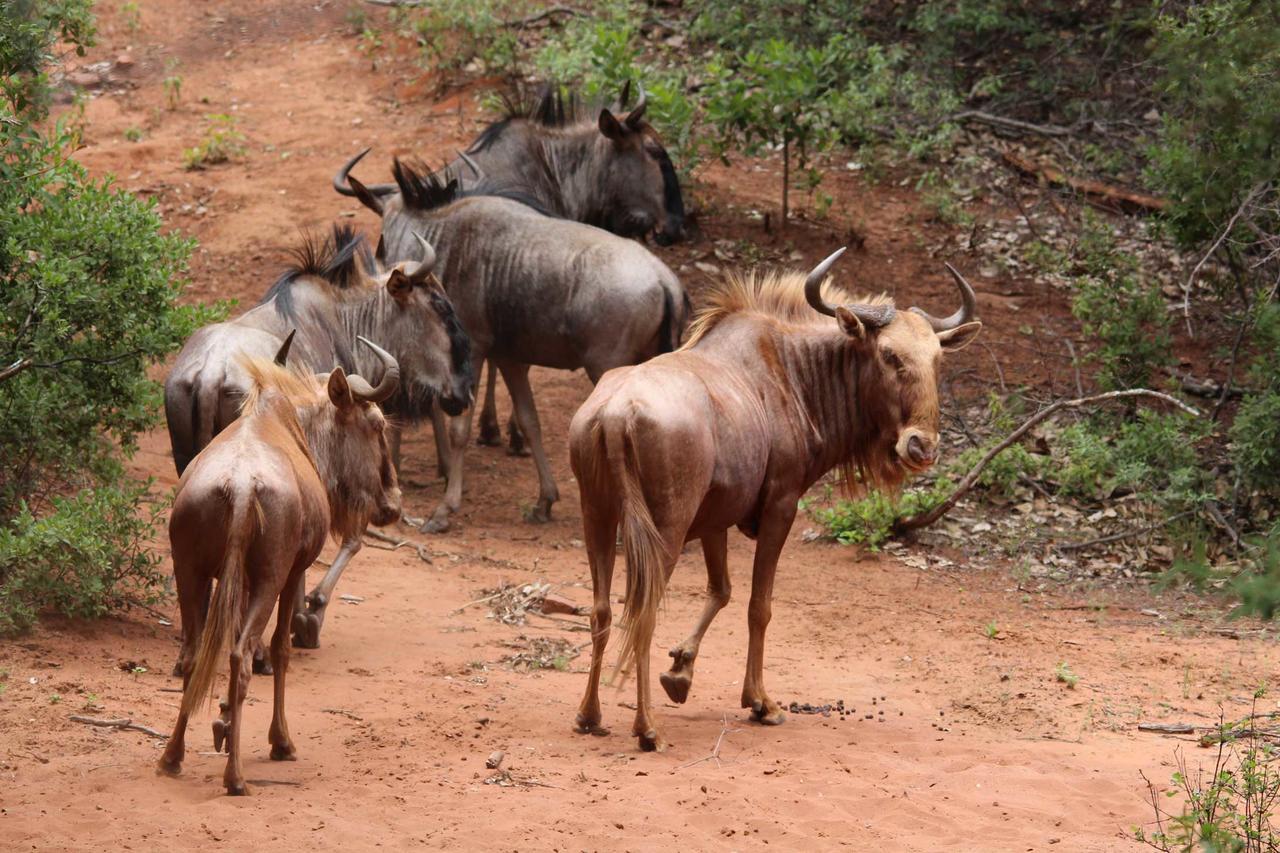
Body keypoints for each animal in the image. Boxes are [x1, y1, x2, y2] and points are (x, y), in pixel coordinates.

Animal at [158, 338, 399, 788]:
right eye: (376, 425)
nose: (391, 504)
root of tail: (239, 487)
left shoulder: (236, 580)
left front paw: (223, 720)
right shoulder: (293, 573)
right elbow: (279, 648)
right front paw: (279, 740)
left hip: (190, 573)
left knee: (194, 655)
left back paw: (172, 756)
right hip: (269, 580)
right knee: (241, 655)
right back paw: (235, 777)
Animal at [570, 249, 977, 747]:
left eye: (937, 359)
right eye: (888, 354)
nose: (921, 447)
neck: (793, 373)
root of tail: (615, 414)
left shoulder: (715, 520)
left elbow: (721, 590)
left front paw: (681, 671)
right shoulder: (781, 507)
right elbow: (758, 607)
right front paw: (761, 702)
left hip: (598, 518)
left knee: (601, 609)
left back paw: (590, 715)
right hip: (664, 528)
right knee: (642, 611)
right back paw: (646, 729)